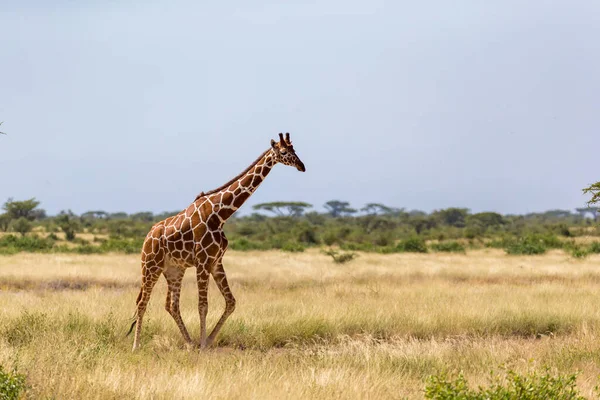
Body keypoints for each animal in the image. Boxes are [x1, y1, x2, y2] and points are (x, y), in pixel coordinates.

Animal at [126, 132, 304, 350]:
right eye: (285, 152)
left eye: (295, 149)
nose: (302, 166)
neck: (220, 214)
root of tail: (148, 236)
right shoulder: (202, 261)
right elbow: (203, 305)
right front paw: (203, 345)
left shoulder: (216, 261)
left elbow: (231, 302)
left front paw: (208, 341)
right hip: (150, 265)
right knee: (142, 302)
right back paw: (136, 346)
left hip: (174, 270)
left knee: (171, 305)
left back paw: (189, 343)